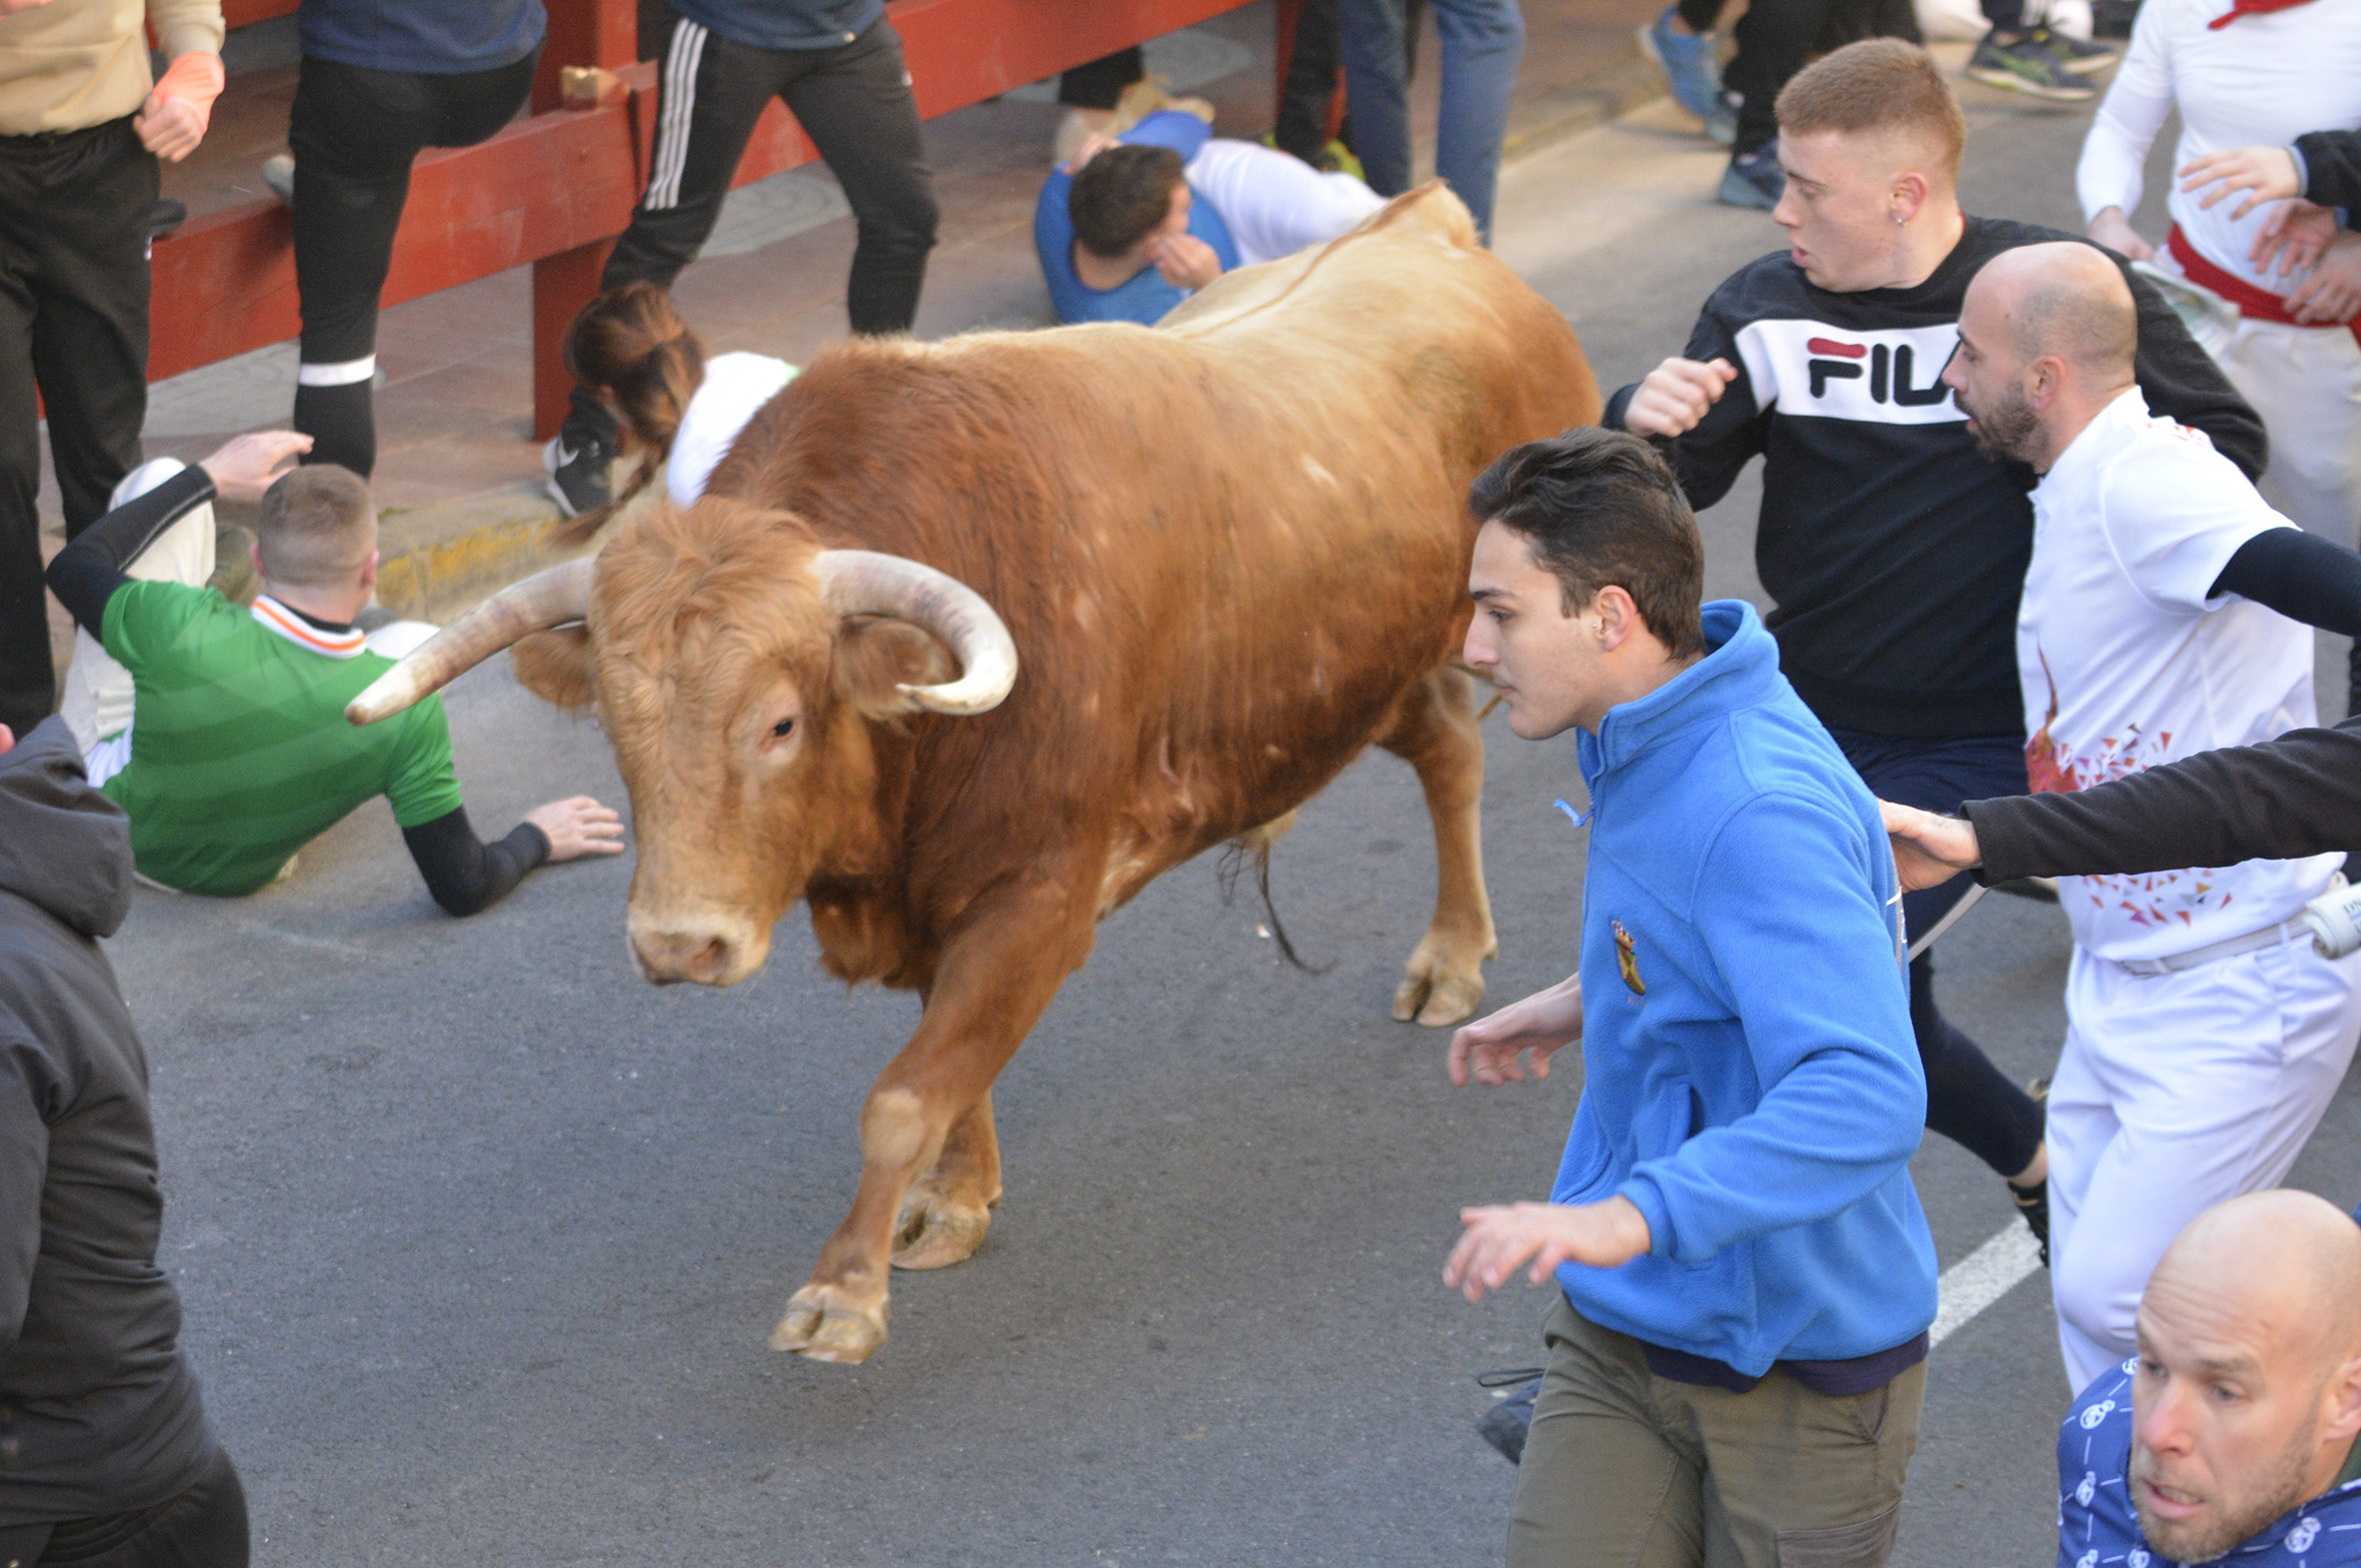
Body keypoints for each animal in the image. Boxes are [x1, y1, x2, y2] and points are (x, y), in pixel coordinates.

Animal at [349, 184, 1605, 1360]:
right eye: (617, 724)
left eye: (781, 724)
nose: (677, 945)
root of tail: (1427, 229)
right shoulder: (938, 905)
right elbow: (956, 1073)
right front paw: (956, 1202)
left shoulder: (1040, 897)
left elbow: (906, 1095)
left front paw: (843, 1290)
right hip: (1375, 675)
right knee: (1447, 746)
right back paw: (1450, 956)